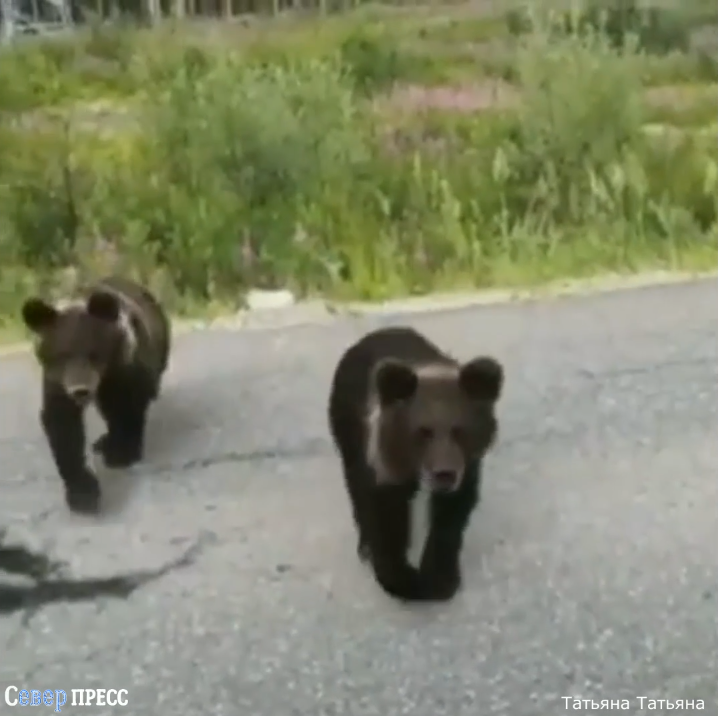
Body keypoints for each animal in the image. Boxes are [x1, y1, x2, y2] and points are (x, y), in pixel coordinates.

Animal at [21, 274, 172, 516]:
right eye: (61, 355)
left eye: (93, 353)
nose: (80, 389)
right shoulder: (57, 382)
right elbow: (63, 424)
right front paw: (83, 493)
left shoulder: (125, 365)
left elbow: (128, 405)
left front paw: (122, 452)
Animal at [328, 328, 504, 600]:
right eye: (423, 431)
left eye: (459, 430)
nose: (444, 474)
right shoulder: (384, 461)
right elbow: (386, 515)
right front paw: (404, 579)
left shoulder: (467, 465)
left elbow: (451, 516)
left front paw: (441, 578)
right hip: (345, 427)